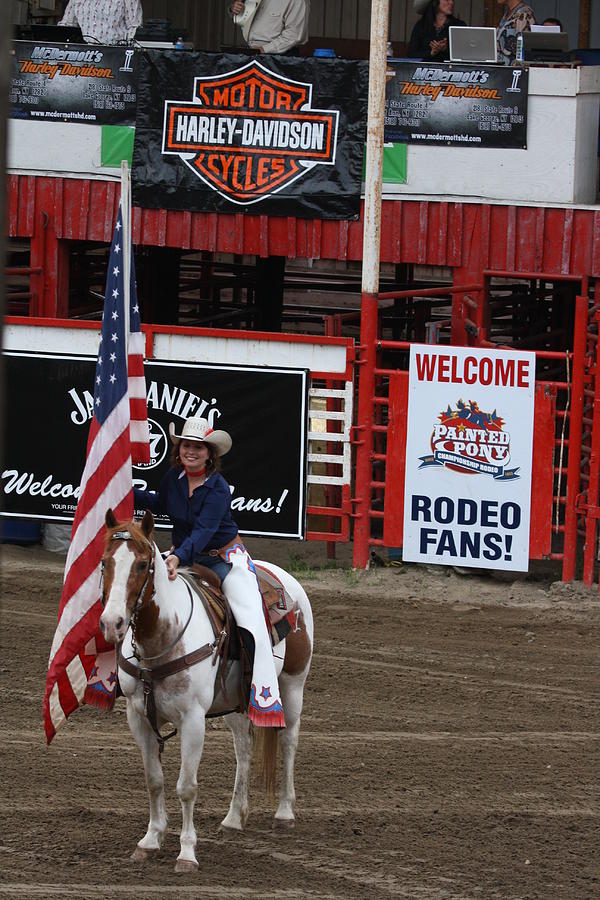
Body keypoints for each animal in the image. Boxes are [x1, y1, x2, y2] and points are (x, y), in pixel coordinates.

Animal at [98, 510, 314, 876]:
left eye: (141, 564)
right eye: (104, 561)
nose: (111, 623)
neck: (161, 639)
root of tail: (286, 579)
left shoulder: (193, 720)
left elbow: (186, 787)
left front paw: (186, 853)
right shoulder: (138, 716)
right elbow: (154, 780)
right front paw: (150, 840)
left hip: (291, 686)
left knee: (288, 741)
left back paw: (285, 812)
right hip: (237, 703)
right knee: (244, 748)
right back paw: (233, 817)